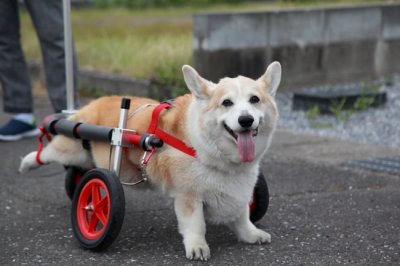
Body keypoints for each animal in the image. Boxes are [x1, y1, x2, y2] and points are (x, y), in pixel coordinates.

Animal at [19, 60, 282, 260]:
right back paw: (28, 162)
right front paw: (197, 247)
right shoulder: (188, 196)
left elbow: (242, 214)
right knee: (49, 149)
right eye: (227, 103)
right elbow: (195, 224)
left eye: (254, 100)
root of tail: (93, 103)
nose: (246, 120)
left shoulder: (240, 186)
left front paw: (251, 233)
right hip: (71, 147)